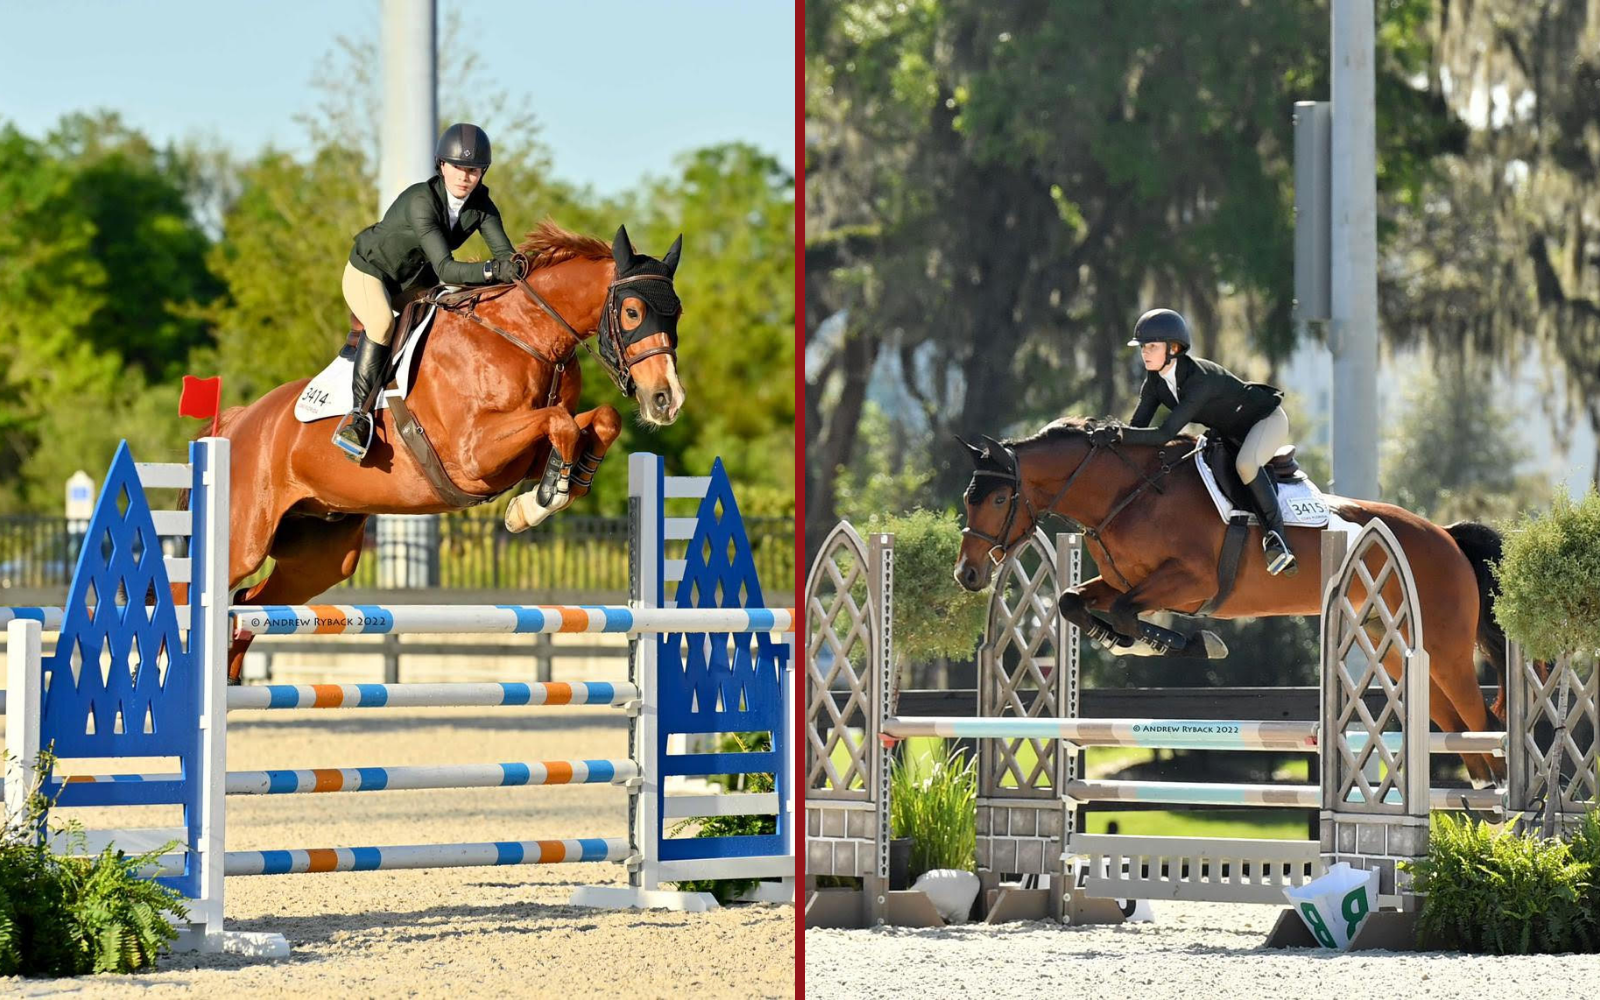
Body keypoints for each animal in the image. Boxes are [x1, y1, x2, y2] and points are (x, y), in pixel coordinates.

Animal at [209, 222, 684, 681]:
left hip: (320, 556)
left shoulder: (522, 455)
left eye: (676, 312)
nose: (667, 400)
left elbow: (598, 420)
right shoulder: (474, 455)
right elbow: (560, 423)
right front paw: (539, 503)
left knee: (248, 602)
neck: (524, 336)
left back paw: (230, 676)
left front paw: (549, 493)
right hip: (244, 542)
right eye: (632, 312)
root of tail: (240, 421)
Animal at [953, 416, 1516, 784]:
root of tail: (1445, 535)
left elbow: (1128, 613)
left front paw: (1192, 643)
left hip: (1445, 650)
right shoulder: (1120, 579)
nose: (968, 573)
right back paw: (1482, 802)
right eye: (967, 498)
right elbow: (1075, 601)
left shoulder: (1191, 580)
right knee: (1458, 729)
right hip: (1399, 652)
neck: (1127, 493)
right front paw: (1118, 639)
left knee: (1484, 724)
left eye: (999, 498)